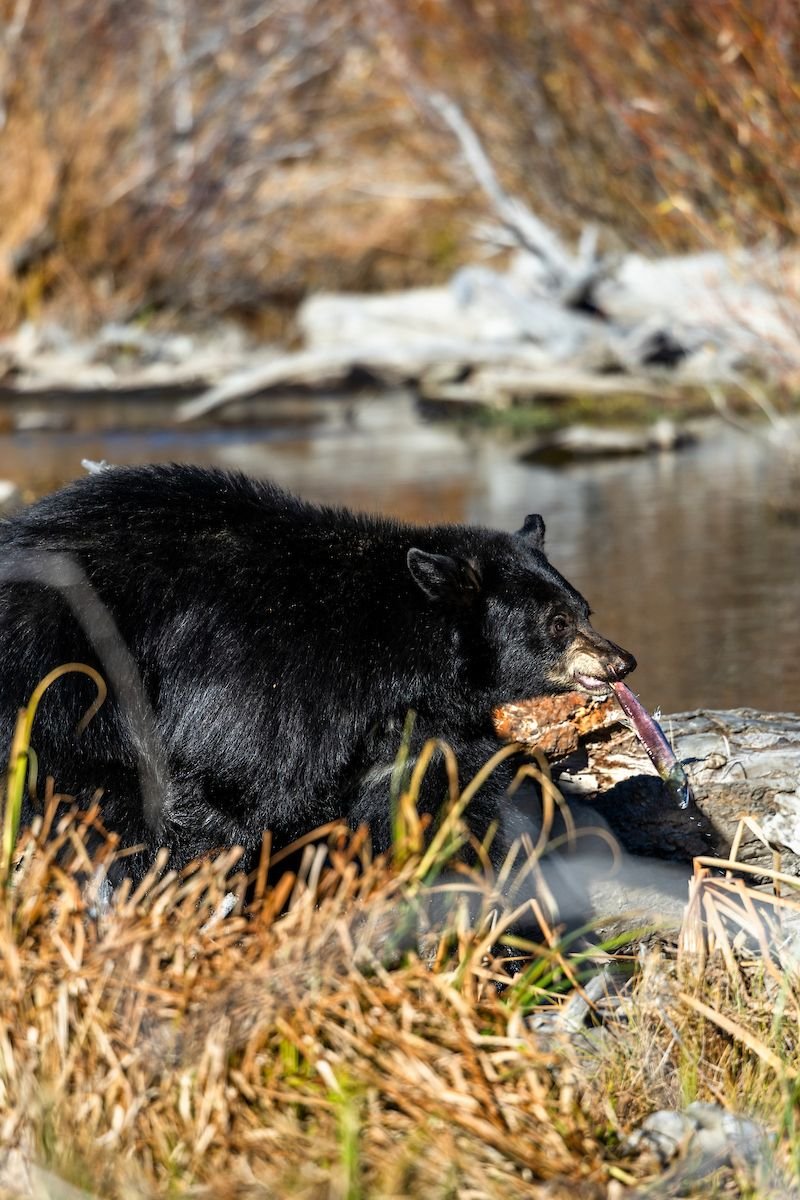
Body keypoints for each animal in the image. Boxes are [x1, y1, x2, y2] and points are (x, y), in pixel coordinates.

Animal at [0, 460, 638, 892]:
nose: (622, 661)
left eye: (583, 608)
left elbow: (435, 788)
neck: (391, 641)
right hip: (64, 671)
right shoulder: (271, 684)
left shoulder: (416, 726)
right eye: (556, 623)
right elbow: (239, 790)